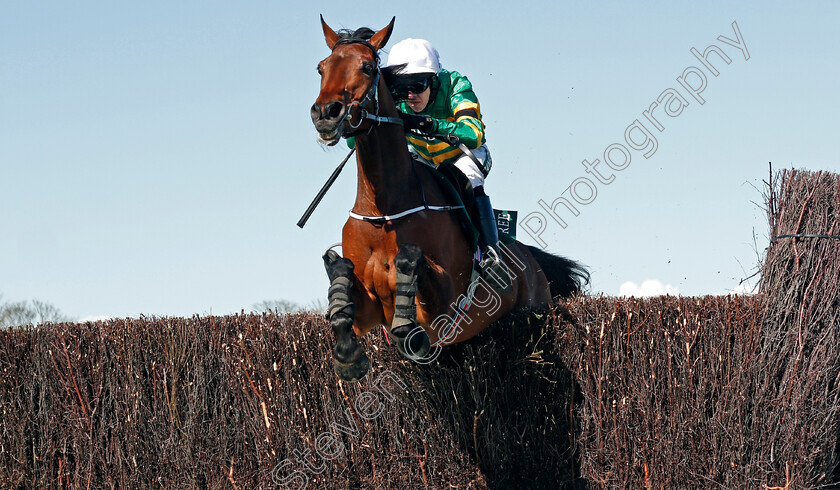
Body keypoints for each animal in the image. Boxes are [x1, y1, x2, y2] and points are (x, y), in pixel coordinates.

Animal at [310, 16, 592, 382]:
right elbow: (342, 290)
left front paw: (407, 327)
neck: (385, 211)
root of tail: (532, 260)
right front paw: (348, 354)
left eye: (368, 67)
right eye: (322, 67)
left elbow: (410, 265)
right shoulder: (370, 313)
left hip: (530, 312)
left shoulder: (443, 309)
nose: (325, 113)